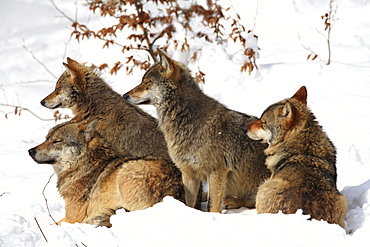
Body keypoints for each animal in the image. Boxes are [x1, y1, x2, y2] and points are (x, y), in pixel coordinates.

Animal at [28, 118, 184, 227]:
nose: (30, 151)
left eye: (56, 141)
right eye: (46, 139)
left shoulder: (73, 218)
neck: (85, 163)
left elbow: (49, 225)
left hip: (126, 171)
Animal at [123, 48, 270, 212]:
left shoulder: (217, 171)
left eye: (147, 82)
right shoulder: (188, 173)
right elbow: (190, 203)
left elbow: (212, 205)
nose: (125, 95)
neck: (186, 120)